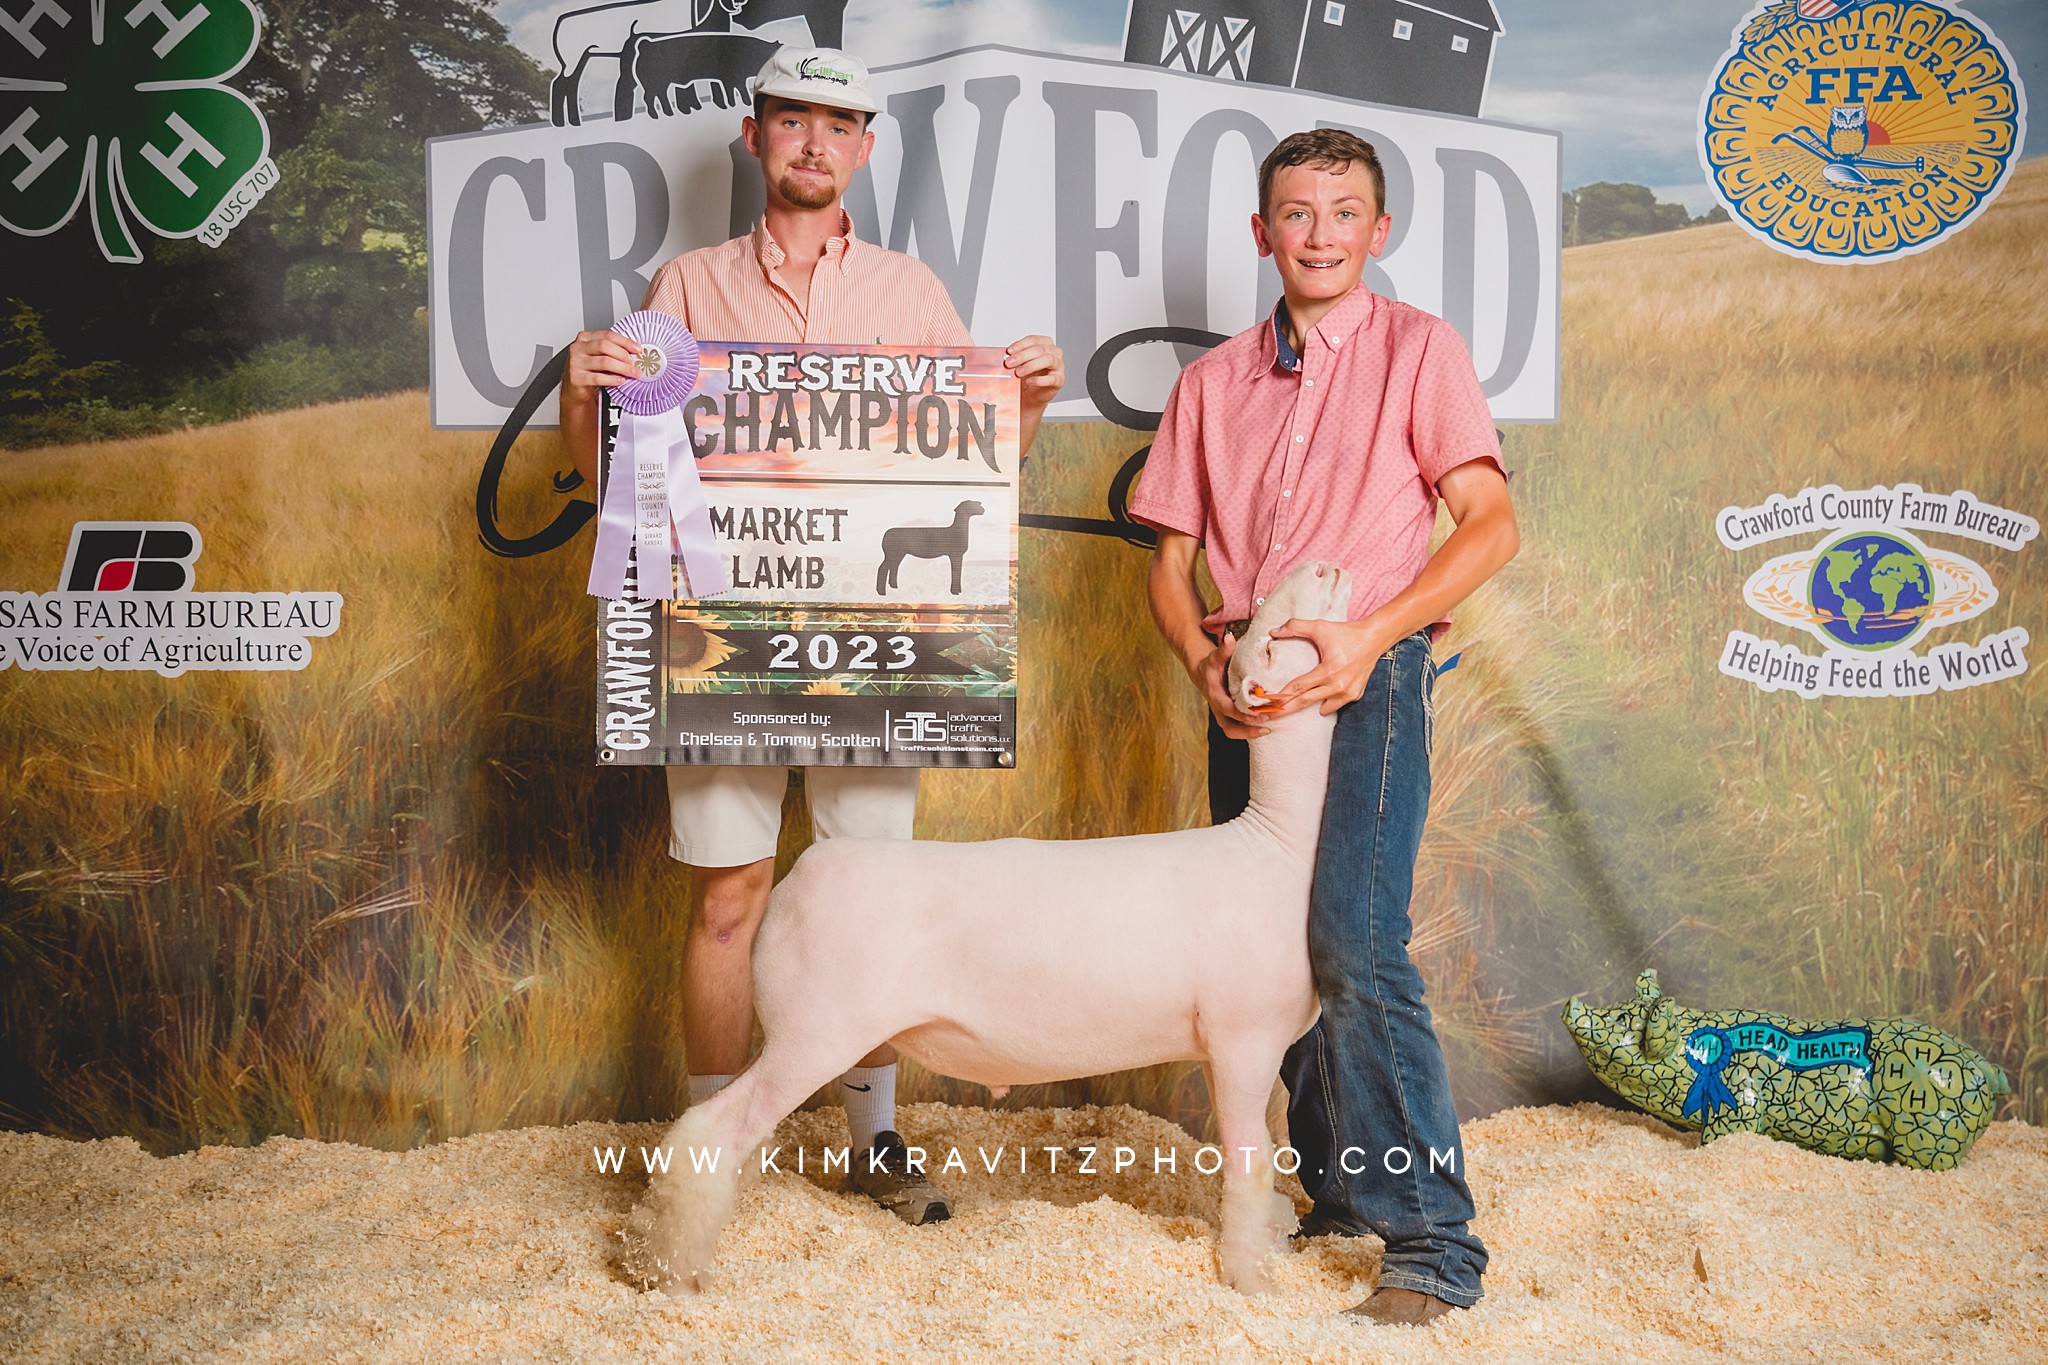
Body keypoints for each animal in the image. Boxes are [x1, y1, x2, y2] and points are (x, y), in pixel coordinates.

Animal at [622, 556, 1359, 1293]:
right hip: (813, 1031)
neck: (1273, 846)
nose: (1326, 564)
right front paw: (1253, 1279)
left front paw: (1271, 1246)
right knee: (709, 1131)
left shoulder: (1230, 1046)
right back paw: (671, 1271)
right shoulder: (1243, 1039)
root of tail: (800, 879)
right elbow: (1251, 1165)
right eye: (1270, 635)